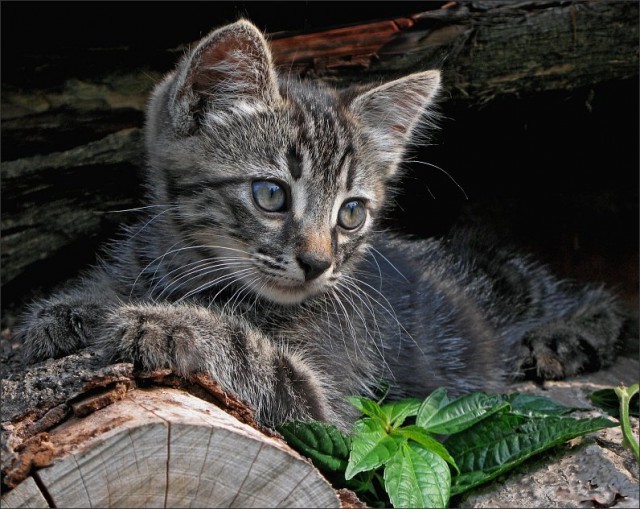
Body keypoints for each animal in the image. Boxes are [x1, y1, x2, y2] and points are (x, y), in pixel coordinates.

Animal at [17, 21, 624, 430]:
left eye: (351, 212)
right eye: (271, 195)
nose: (317, 263)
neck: (203, 274)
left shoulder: (333, 408)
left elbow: (256, 355)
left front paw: (169, 325)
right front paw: (71, 309)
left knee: (591, 296)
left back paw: (567, 335)